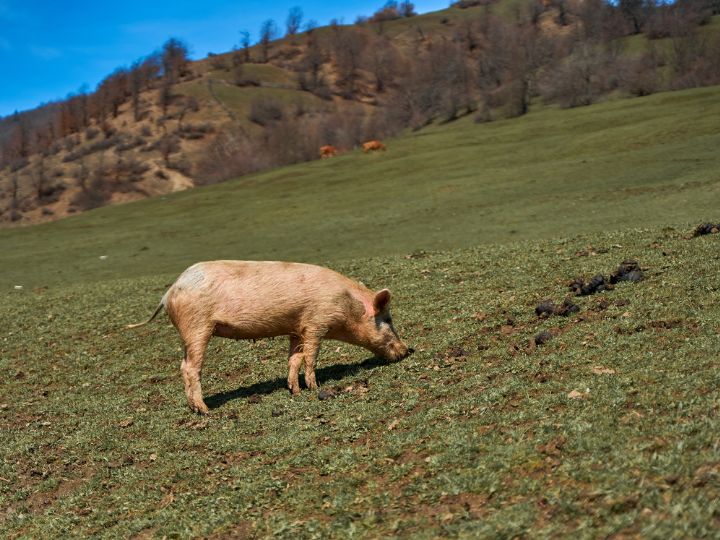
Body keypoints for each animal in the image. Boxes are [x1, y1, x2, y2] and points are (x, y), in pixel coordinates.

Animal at [127, 260, 410, 414]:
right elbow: (311, 356)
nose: (407, 350)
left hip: (189, 332)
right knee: (191, 368)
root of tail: (169, 292)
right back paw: (206, 410)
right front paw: (315, 387)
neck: (346, 307)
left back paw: (194, 409)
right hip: (197, 325)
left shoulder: (296, 328)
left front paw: (295, 391)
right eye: (388, 319)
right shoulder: (316, 322)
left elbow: (294, 359)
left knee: (182, 365)